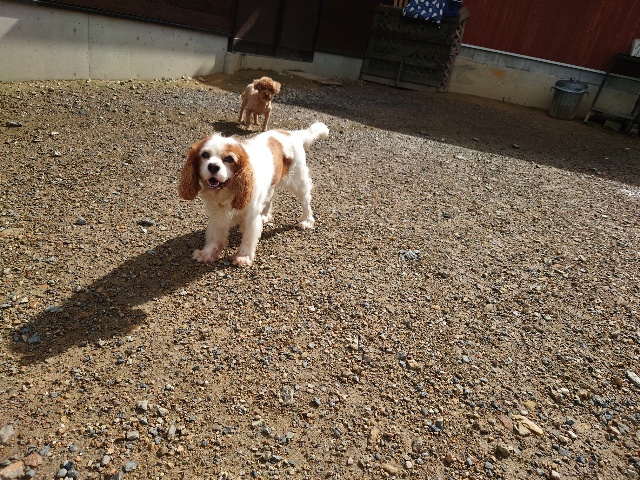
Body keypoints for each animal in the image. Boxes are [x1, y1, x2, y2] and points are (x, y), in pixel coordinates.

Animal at [179, 122, 329, 267]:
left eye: (229, 159)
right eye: (205, 155)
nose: (213, 166)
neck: (228, 190)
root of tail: (292, 133)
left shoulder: (251, 216)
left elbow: (247, 238)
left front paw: (243, 257)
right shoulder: (217, 214)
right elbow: (215, 236)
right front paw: (207, 254)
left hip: (298, 181)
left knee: (306, 200)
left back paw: (307, 220)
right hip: (271, 183)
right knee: (270, 197)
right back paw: (265, 215)